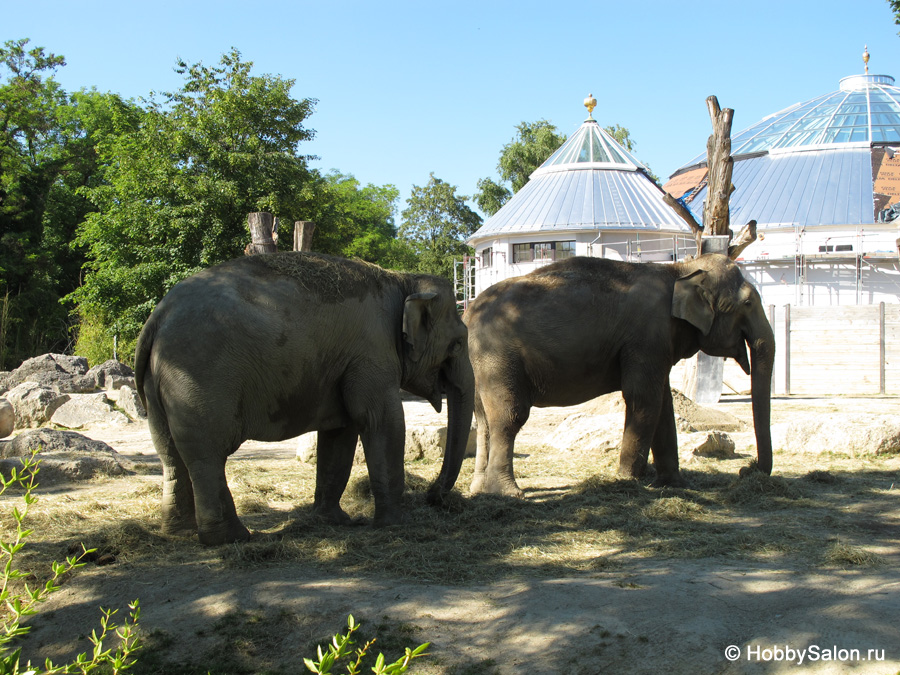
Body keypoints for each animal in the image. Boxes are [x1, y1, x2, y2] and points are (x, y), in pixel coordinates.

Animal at [136, 251, 474, 548]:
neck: (403, 280)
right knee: (207, 454)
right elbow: (382, 421)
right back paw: (231, 538)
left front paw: (334, 521)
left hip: (161, 383)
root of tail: (157, 318)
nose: (434, 496)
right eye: (458, 344)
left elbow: (340, 433)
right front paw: (393, 524)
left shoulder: (346, 363)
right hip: (200, 378)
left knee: (170, 453)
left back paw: (178, 532)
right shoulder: (372, 354)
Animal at [464, 254, 772, 496]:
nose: (747, 469)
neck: (680, 269)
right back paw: (508, 494)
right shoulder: (647, 335)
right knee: (509, 416)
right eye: (748, 303)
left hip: (481, 363)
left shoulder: (655, 344)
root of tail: (468, 314)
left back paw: (479, 491)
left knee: (483, 419)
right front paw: (627, 481)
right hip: (498, 355)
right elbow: (643, 398)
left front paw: (673, 485)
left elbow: (663, 404)